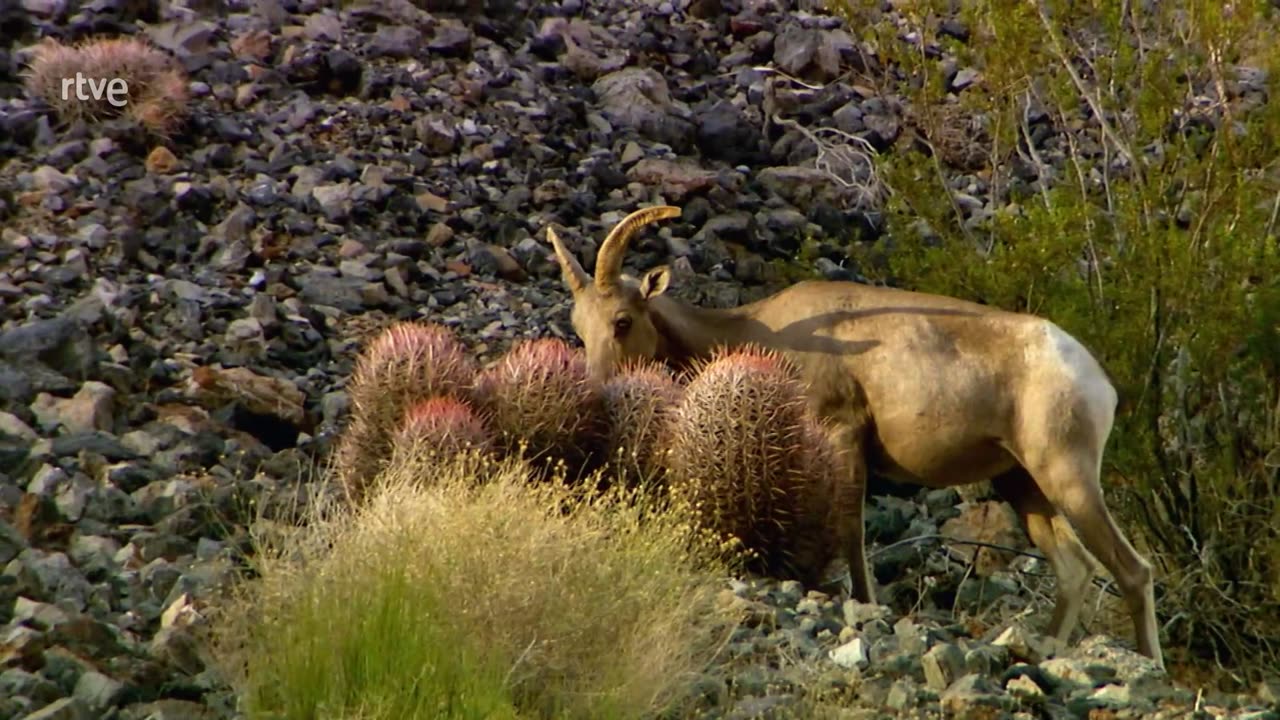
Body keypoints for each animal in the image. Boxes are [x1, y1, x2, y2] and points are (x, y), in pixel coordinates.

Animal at [545, 202, 1167, 666]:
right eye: (580, 327)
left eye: (623, 320)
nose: (598, 390)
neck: (759, 331)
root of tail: (1093, 377)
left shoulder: (841, 436)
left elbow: (850, 532)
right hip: (1025, 487)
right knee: (1076, 570)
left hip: (1067, 480)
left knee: (1132, 570)